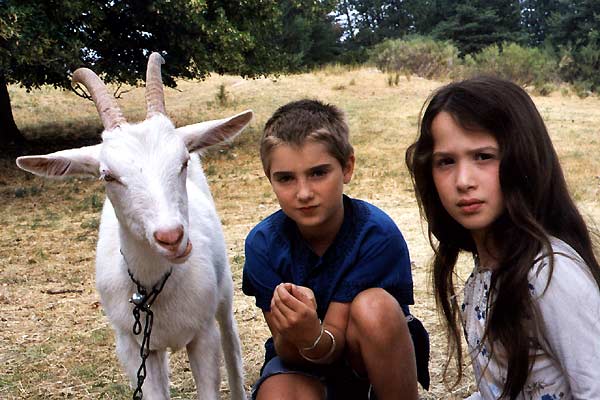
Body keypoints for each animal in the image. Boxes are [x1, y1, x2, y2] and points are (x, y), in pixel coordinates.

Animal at [17, 53, 251, 400]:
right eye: (108, 175)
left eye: (183, 161)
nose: (171, 237)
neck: (153, 290)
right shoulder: (132, 345)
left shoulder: (203, 335)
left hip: (223, 298)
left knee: (231, 344)